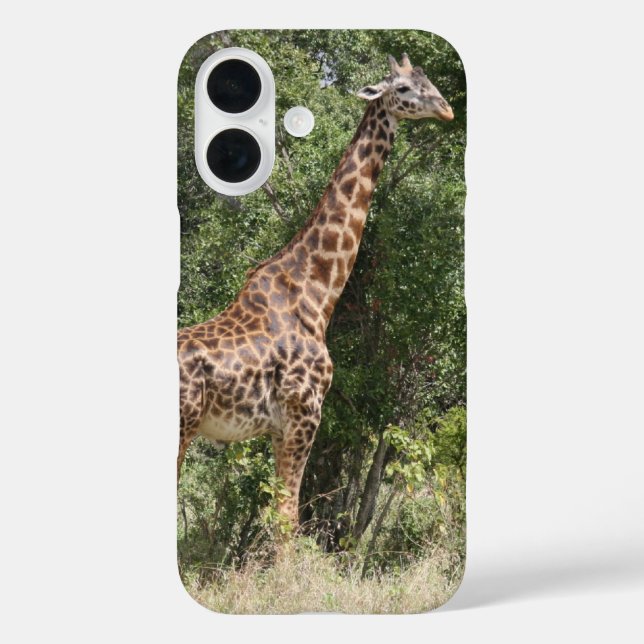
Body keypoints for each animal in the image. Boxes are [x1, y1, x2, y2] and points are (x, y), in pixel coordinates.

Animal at [177, 53, 454, 528]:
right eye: (402, 89)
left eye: (428, 81)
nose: (447, 109)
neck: (316, 293)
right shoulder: (304, 414)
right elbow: (288, 518)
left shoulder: (278, 428)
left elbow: (279, 514)